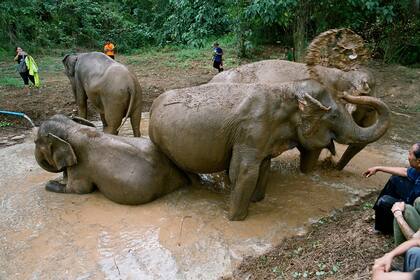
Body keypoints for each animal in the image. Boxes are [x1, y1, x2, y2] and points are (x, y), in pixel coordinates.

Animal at [148, 80, 390, 220]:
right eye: (334, 115)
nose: (354, 91)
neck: (288, 90)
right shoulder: (252, 130)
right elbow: (243, 172)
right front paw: (235, 219)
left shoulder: (263, 137)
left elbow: (264, 167)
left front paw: (257, 201)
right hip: (159, 141)